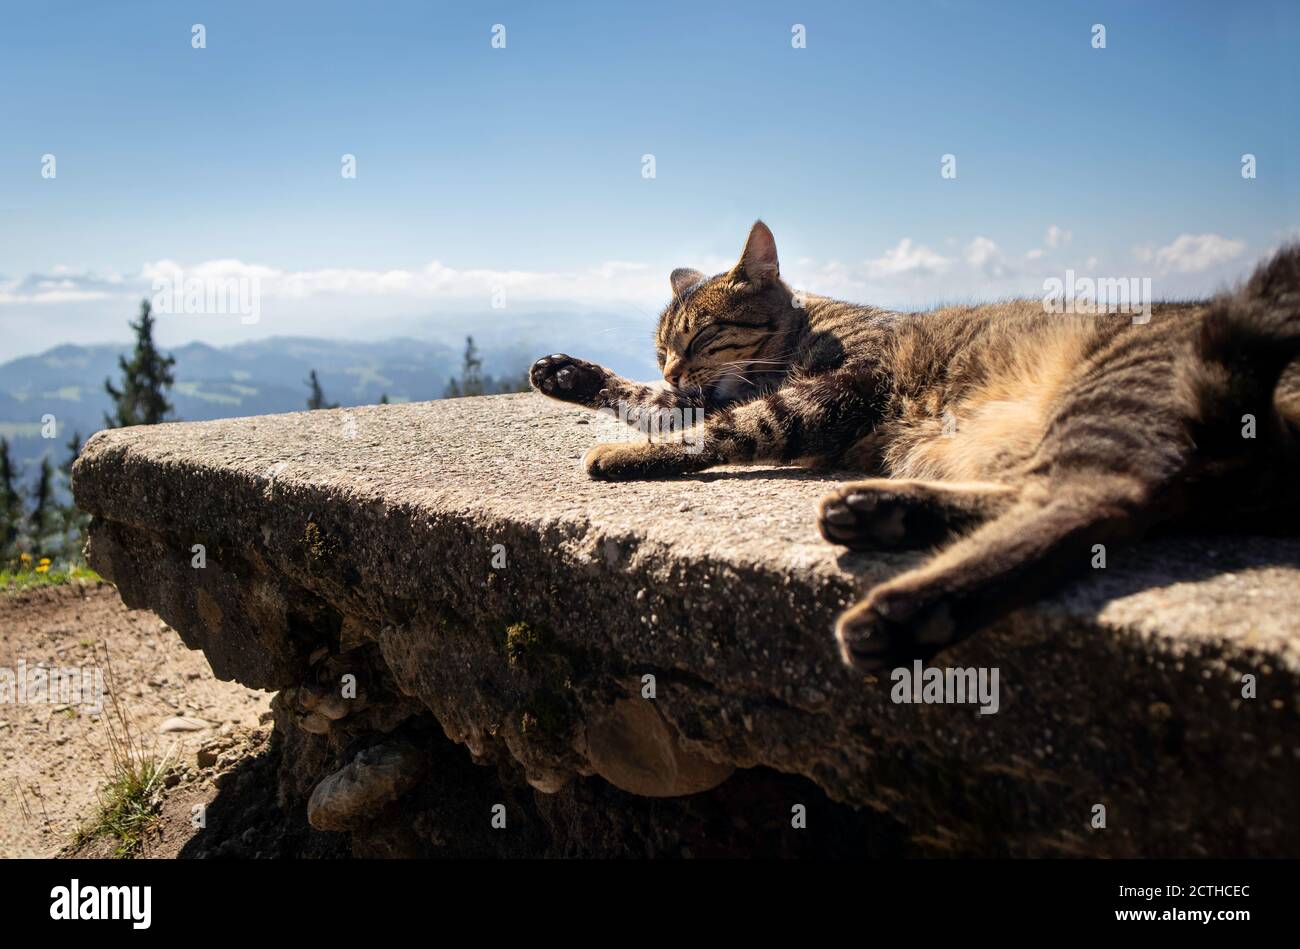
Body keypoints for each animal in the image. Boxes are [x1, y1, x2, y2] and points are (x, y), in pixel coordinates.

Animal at [527, 219, 1300, 665]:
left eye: (701, 336)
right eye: (661, 347)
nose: (672, 366)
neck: (800, 331)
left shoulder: (841, 388)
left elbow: (725, 429)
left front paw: (624, 455)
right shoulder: (706, 392)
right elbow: (653, 403)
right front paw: (569, 373)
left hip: (1113, 394)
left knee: (1098, 499)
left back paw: (906, 611)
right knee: (1058, 495)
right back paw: (882, 513)